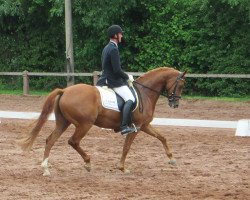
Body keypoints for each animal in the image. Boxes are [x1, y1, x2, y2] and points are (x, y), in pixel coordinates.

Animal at [19, 66, 186, 176]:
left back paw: (46, 169)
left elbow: (162, 137)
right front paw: (122, 168)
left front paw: (172, 159)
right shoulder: (137, 127)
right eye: (181, 85)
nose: (175, 104)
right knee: (73, 141)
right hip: (85, 124)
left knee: (50, 140)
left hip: (63, 122)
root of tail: (65, 90)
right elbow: (126, 147)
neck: (145, 92)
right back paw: (87, 163)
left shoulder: (144, 125)